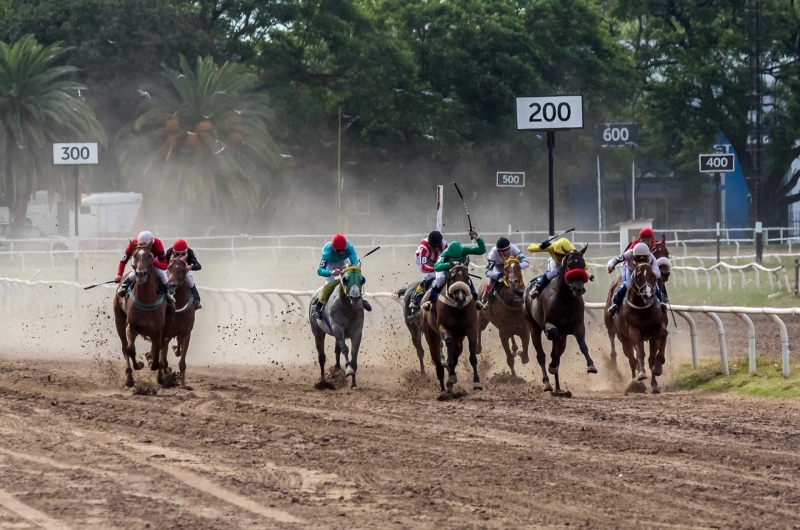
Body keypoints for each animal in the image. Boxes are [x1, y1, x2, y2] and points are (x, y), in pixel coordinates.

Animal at [111, 243, 174, 388]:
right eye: (134, 255)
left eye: (150, 256)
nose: (140, 274)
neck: (146, 300)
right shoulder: (131, 326)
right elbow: (130, 349)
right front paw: (138, 365)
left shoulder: (158, 330)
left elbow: (157, 353)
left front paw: (156, 369)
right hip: (119, 319)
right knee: (124, 346)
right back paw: (129, 377)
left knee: (162, 348)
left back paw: (160, 375)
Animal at [161, 256, 195, 386]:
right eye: (168, 268)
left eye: (182, 270)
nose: (171, 285)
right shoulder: (165, 333)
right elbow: (163, 359)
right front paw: (166, 374)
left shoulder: (186, 332)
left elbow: (182, 359)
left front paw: (183, 383)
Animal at [418, 262, 482, 394]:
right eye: (452, 278)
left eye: (467, 278)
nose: (460, 298)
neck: (457, 309)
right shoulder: (444, 327)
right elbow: (448, 343)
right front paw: (452, 377)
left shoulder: (472, 329)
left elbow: (472, 357)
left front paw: (477, 382)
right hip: (431, 335)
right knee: (437, 361)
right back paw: (443, 388)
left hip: (459, 339)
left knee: (455, 353)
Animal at [520, 246, 596, 392]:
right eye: (569, 264)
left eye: (583, 264)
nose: (578, 288)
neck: (566, 299)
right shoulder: (548, 323)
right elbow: (553, 335)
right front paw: (552, 366)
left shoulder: (577, 325)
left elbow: (582, 345)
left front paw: (591, 365)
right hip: (533, 326)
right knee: (541, 355)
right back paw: (548, 384)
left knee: (556, 353)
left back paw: (558, 386)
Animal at [608, 260, 668, 392]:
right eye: (638, 276)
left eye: (653, 275)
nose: (648, 295)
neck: (643, 309)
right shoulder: (633, 330)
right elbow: (640, 353)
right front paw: (641, 374)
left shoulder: (656, 329)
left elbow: (662, 337)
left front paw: (658, 369)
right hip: (622, 337)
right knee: (631, 359)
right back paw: (635, 383)